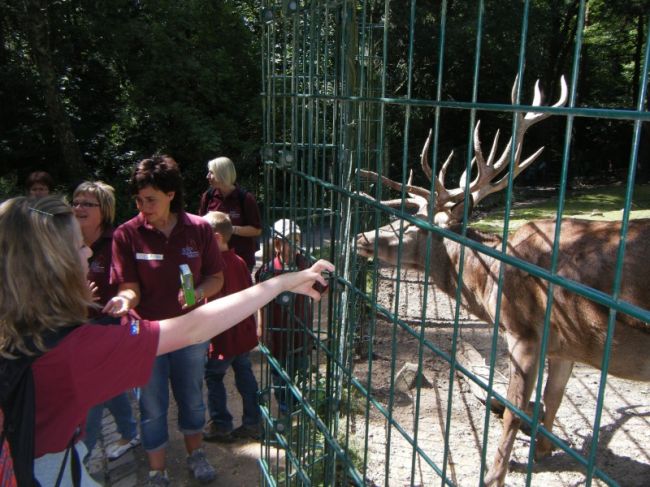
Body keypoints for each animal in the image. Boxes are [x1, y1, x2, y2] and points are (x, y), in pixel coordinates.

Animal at [352, 75, 648, 484]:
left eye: (411, 225)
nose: (359, 238)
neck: (489, 282)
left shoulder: (525, 332)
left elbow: (512, 410)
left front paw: (494, 473)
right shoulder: (566, 346)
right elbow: (551, 401)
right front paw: (541, 452)